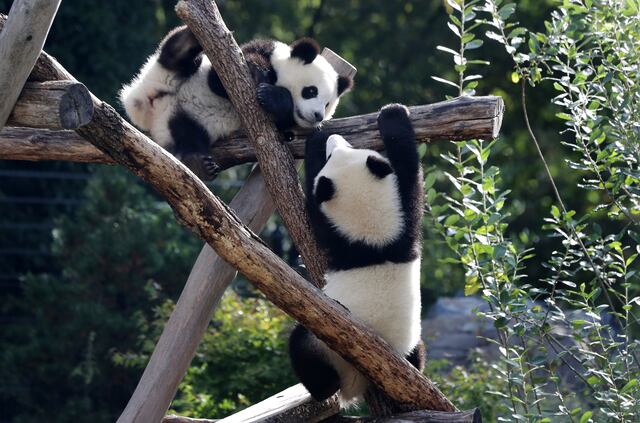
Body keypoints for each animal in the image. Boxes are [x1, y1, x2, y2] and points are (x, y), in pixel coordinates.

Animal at [120, 26, 353, 179]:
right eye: (311, 91)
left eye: (327, 104)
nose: (318, 116)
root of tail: (149, 104)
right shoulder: (253, 52)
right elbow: (218, 81)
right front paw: (258, 74)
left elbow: (282, 123)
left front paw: (273, 98)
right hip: (169, 72)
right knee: (175, 55)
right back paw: (188, 38)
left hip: (180, 121)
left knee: (188, 137)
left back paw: (199, 164)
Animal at [289, 103, 425, 406]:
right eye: (346, 147)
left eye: (333, 155)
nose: (334, 138)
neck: (372, 237)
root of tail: (357, 381)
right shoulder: (405, 223)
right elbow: (410, 173)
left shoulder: (335, 235)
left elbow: (312, 213)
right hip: (410, 342)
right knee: (418, 351)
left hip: (325, 344)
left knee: (301, 344)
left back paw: (323, 388)